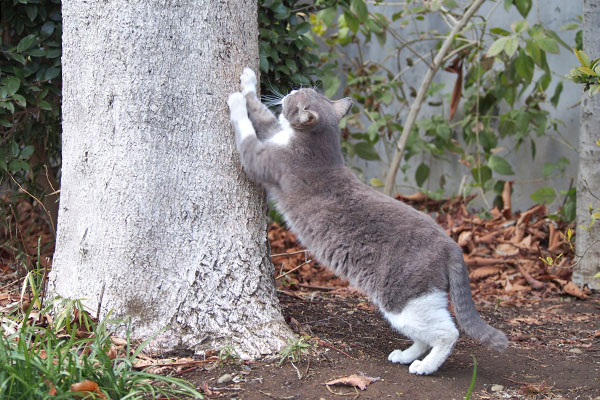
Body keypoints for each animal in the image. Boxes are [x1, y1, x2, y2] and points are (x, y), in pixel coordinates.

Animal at [227, 68, 508, 376]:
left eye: (296, 97)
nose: (290, 90)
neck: (320, 147)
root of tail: (452, 246)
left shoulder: (265, 159)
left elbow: (247, 133)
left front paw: (235, 101)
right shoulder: (273, 134)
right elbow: (262, 114)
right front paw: (249, 81)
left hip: (404, 298)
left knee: (447, 333)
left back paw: (425, 366)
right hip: (421, 300)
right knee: (425, 335)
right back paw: (405, 355)